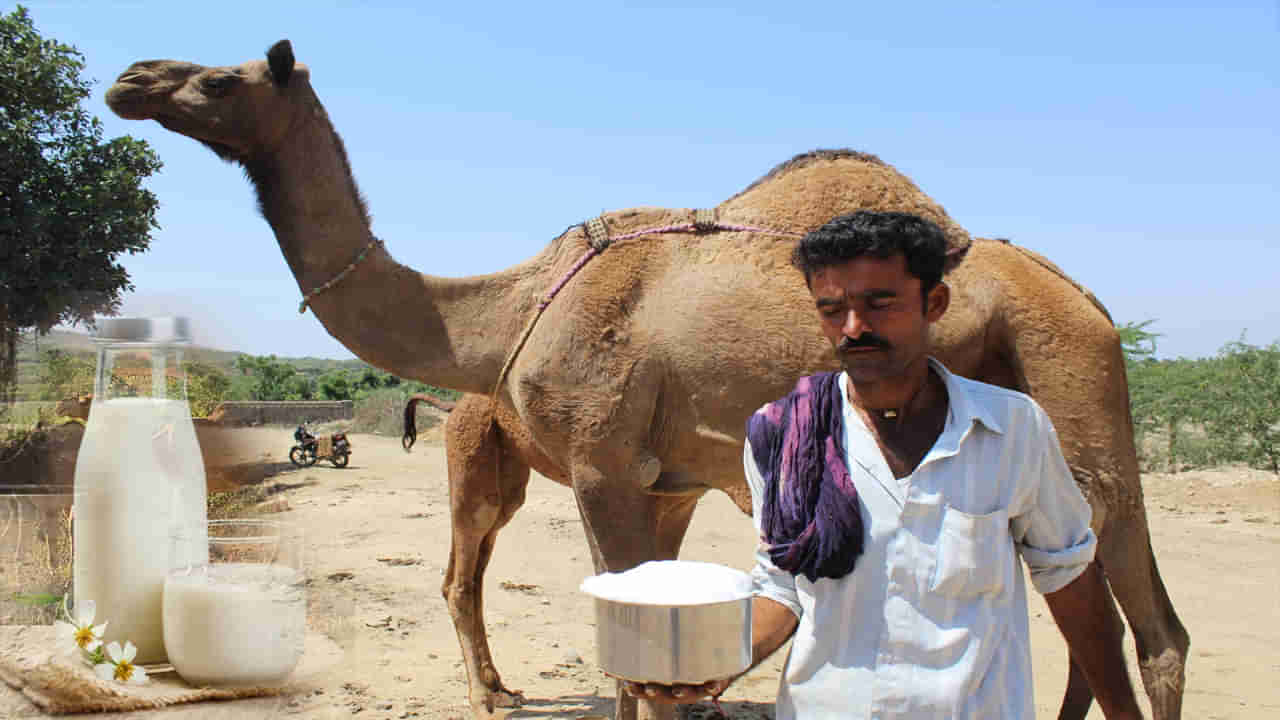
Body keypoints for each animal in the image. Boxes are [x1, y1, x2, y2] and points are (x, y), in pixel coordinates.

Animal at [105, 40, 1188, 720]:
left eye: (219, 80)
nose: (129, 78)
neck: (503, 312)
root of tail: (1088, 303)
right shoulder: (663, 482)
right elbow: (645, 664)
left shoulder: (604, 466)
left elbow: (638, 664)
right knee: (1123, 622)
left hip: (1076, 402)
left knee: (1137, 624)